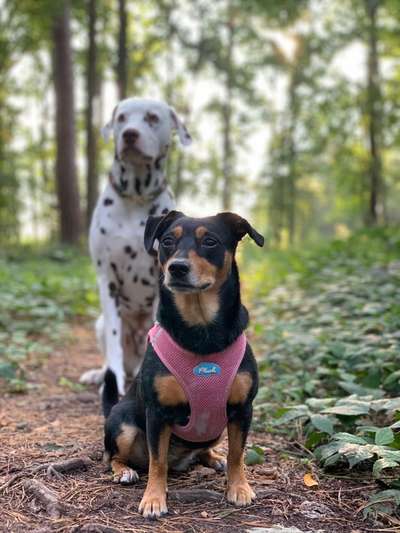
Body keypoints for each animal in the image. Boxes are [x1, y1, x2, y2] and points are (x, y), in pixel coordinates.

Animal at [80, 97, 192, 392]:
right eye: (121, 118)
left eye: (152, 117)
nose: (130, 134)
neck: (136, 197)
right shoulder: (106, 278)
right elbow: (113, 342)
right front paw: (112, 381)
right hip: (100, 324)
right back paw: (101, 373)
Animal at [103, 210, 264, 516]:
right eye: (167, 241)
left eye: (210, 241)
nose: (177, 268)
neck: (201, 330)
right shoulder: (157, 413)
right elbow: (158, 461)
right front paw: (154, 498)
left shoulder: (242, 409)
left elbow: (237, 454)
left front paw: (239, 487)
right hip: (123, 423)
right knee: (113, 455)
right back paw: (124, 470)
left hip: (215, 429)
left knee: (203, 450)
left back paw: (213, 457)